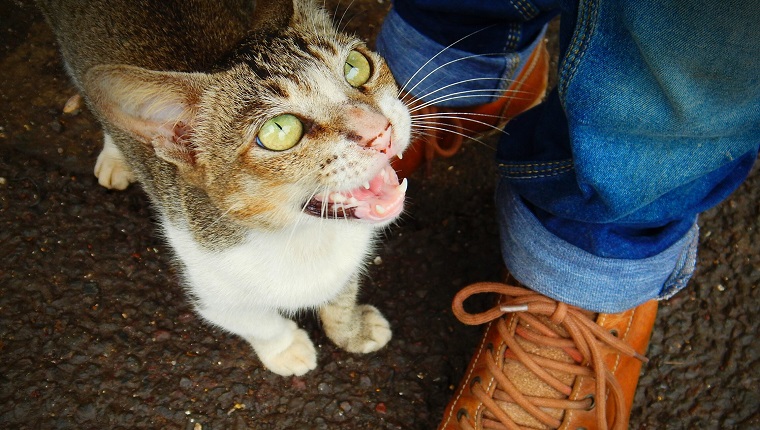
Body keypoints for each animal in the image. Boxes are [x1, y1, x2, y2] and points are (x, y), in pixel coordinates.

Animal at [37, 0, 410, 376]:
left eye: (355, 66)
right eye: (279, 131)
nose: (379, 131)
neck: (303, 237)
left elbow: (342, 296)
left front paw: (353, 329)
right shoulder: (210, 289)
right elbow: (255, 321)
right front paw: (287, 349)